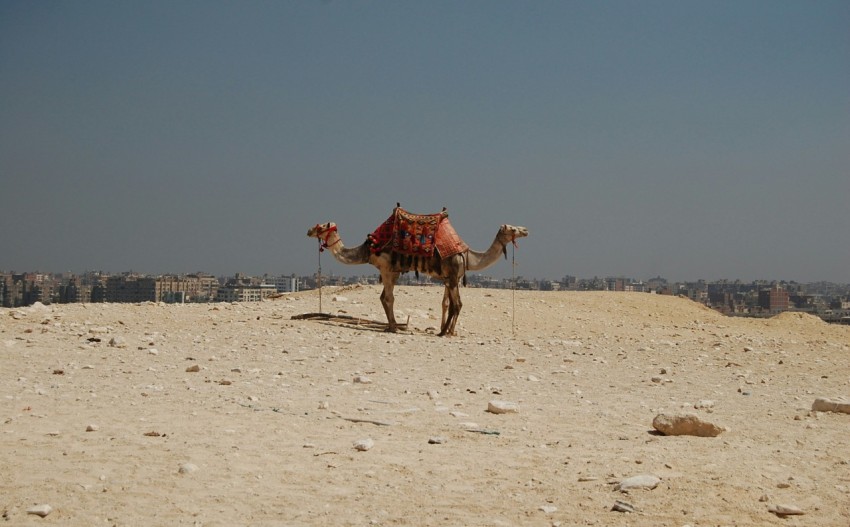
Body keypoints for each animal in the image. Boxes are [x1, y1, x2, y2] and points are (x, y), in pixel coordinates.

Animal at [307, 215, 528, 336]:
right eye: (512, 227)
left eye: (322, 226)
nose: (525, 229)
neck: (469, 256)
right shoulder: (392, 270)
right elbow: (389, 298)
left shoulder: (449, 278)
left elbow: (447, 304)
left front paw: (447, 331)